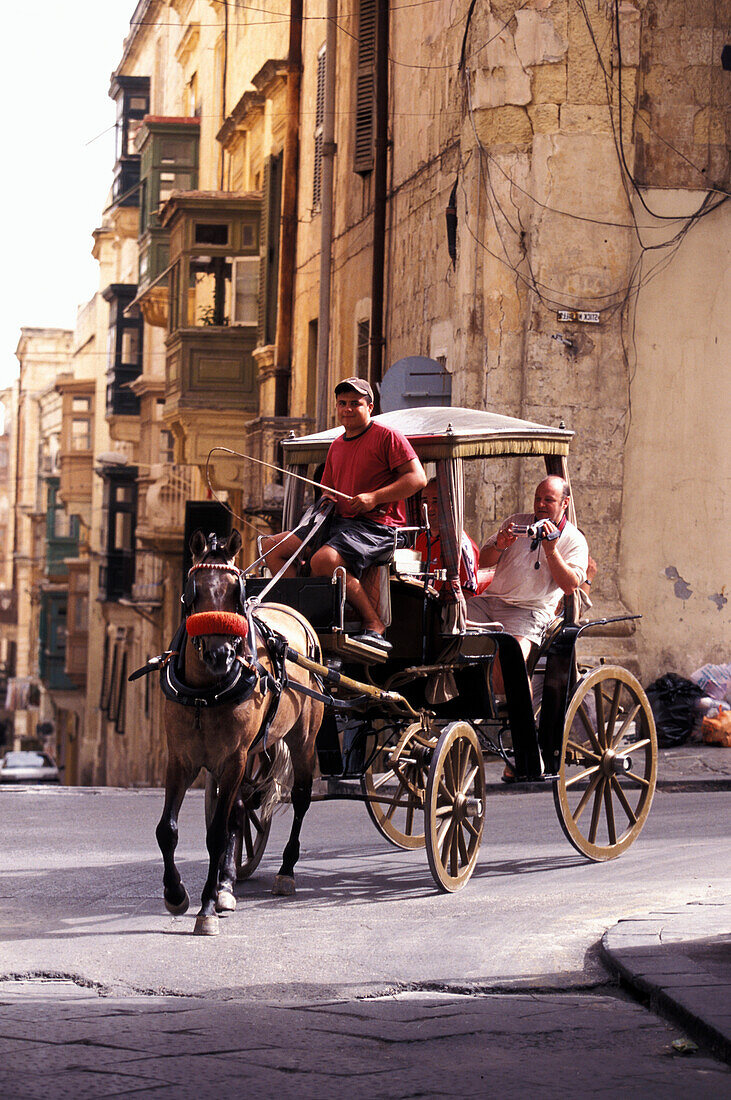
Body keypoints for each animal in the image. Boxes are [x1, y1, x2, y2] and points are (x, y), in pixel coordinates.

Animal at [153, 528, 323, 932]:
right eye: (192, 590)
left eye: (236, 592)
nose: (220, 655)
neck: (205, 692)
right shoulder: (180, 759)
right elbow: (168, 829)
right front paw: (176, 894)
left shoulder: (232, 759)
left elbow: (216, 834)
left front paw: (206, 908)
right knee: (241, 809)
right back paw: (228, 883)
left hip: (302, 740)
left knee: (300, 798)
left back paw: (286, 871)